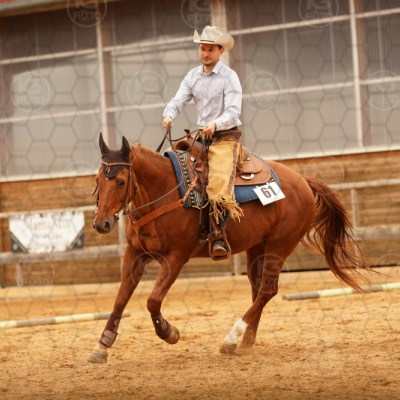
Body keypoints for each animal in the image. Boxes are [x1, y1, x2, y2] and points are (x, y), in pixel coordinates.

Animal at [88, 133, 369, 363]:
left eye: (121, 181)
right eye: (98, 179)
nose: (101, 223)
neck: (166, 191)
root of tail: (303, 181)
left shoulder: (176, 258)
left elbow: (152, 300)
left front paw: (170, 333)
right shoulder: (135, 254)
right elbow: (121, 297)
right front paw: (103, 345)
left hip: (280, 245)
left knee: (268, 289)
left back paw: (231, 339)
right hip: (257, 247)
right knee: (258, 290)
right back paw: (245, 342)